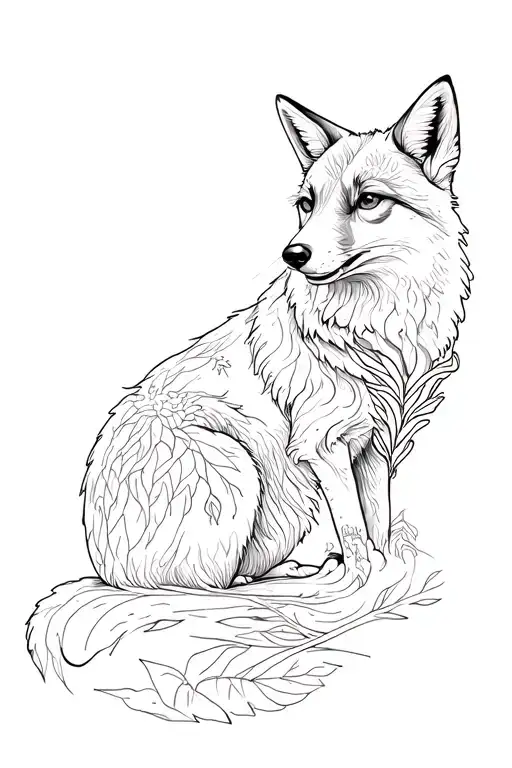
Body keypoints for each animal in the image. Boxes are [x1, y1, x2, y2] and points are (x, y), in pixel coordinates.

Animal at [27, 77, 471, 687]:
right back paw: (296, 580)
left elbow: (377, 527)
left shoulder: (373, 447)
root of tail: (106, 568)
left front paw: (387, 580)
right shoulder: (324, 447)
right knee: (204, 589)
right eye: (307, 204)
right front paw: (361, 585)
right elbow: (357, 538)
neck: (370, 329)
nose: (293, 254)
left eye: (369, 201)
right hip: (238, 466)